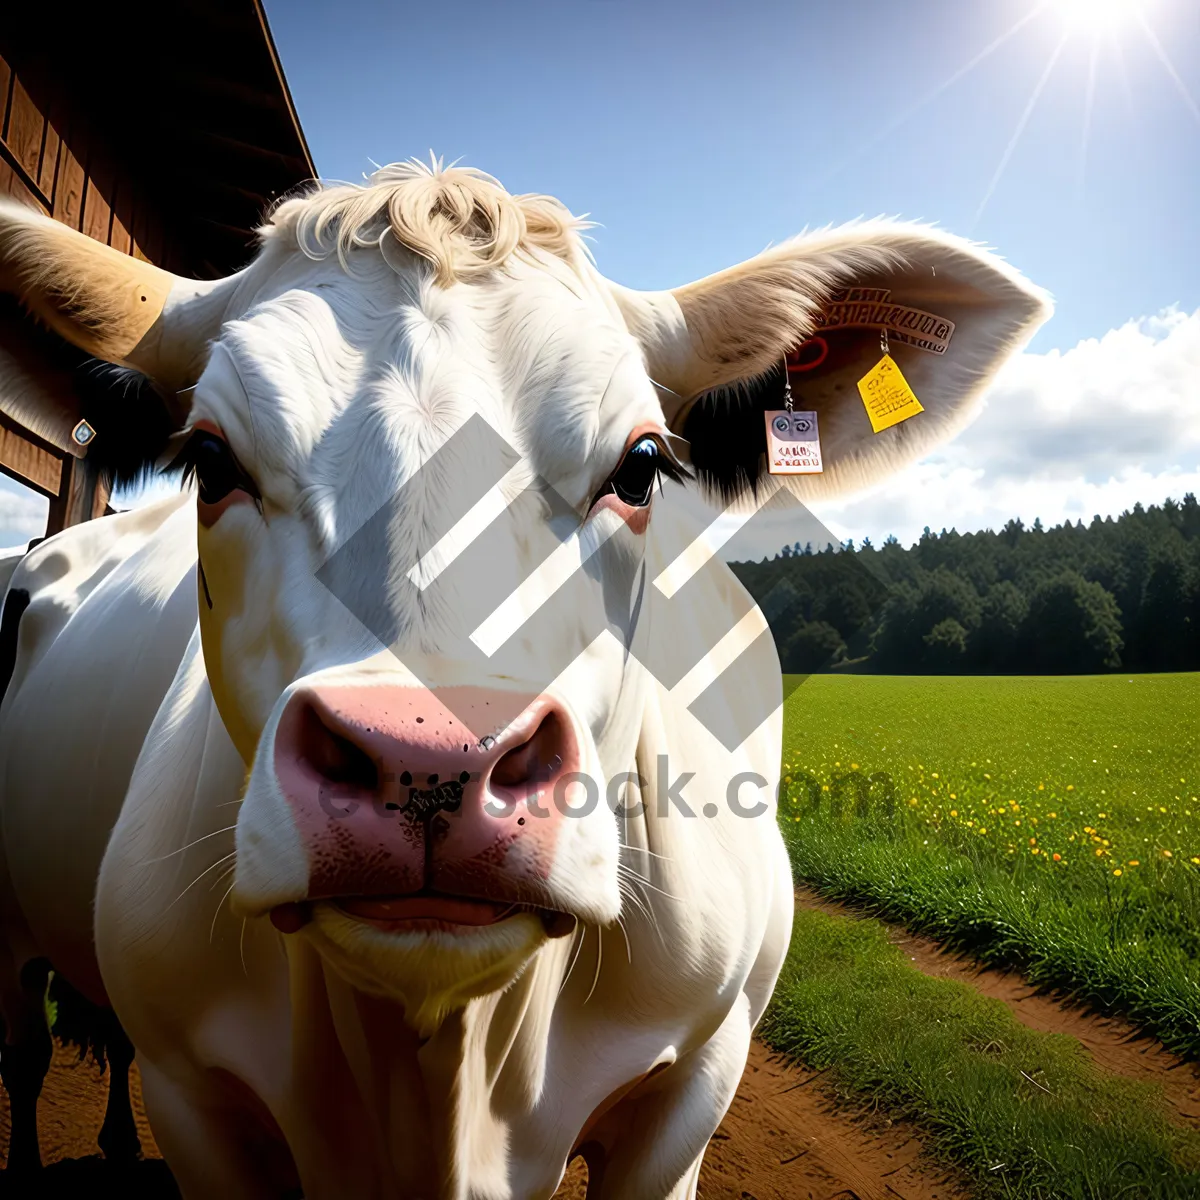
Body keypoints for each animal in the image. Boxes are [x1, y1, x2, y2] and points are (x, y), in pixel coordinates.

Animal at [0, 162, 1046, 1200]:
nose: (428, 762)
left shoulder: (693, 1087)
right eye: (209, 461)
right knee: (29, 1051)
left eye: (642, 466)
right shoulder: (192, 1094)